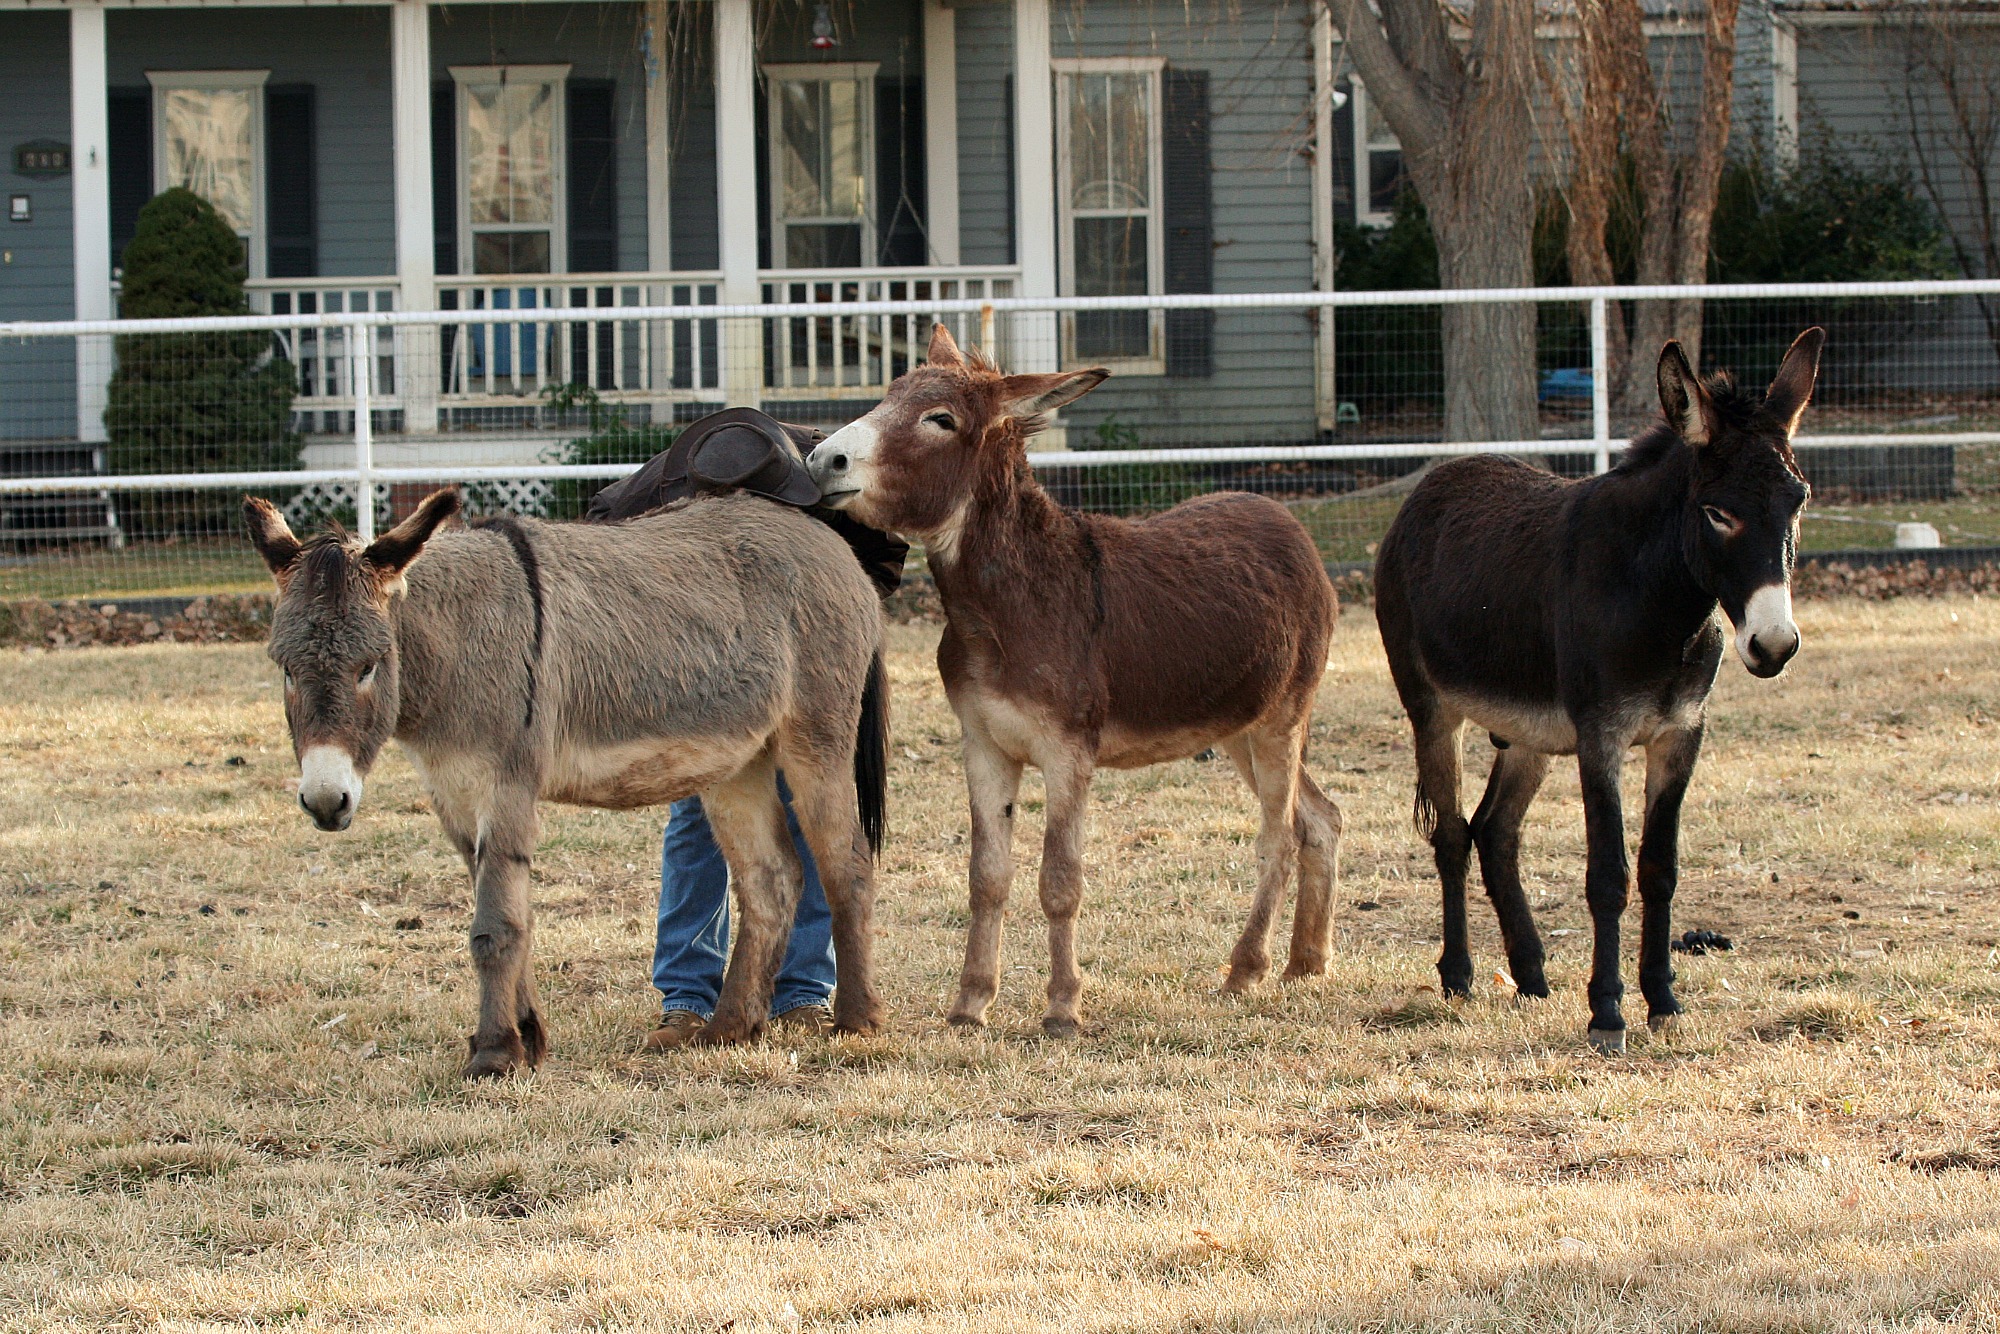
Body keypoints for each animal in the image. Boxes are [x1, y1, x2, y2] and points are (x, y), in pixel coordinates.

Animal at [242, 487, 890, 1078]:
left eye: (369, 666)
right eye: (285, 669)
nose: (326, 801)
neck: (454, 645)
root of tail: (831, 544)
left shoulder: (507, 787)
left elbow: (495, 928)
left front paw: (493, 1054)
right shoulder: (455, 796)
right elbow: (513, 917)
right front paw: (528, 1040)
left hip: (815, 739)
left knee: (847, 865)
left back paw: (856, 1022)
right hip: (738, 763)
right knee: (771, 879)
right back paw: (728, 1030)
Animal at [804, 323, 1343, 1036]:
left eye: (939, 420)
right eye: (886, 396)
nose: (822, 459)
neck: (1003, 610)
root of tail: (1290, 524)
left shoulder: (1068, 754)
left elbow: (1059, 881)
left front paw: (1062, 1008)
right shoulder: (984, 747)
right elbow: (988, 877)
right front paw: (970, 1005)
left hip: (1284, 717)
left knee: (1278, 838)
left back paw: (1246, 969)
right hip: (1239, 726)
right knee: (1321, 819)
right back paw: (1306, 963)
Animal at [1373, 328, 1824, 1052]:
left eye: (1799, 500)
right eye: (1717, 513)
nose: (1775, 645)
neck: (1663, 605)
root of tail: (1438, 480)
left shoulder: (1680, 735)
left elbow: (1660, 869)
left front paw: (1663, 1000)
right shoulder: (1600, 737)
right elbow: (1608, 875)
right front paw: (1607, 1012)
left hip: (1526, 733)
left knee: (1494, 832)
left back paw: (1530, 973)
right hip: (1432, 711)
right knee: (1451, 835)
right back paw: (1460, 974)